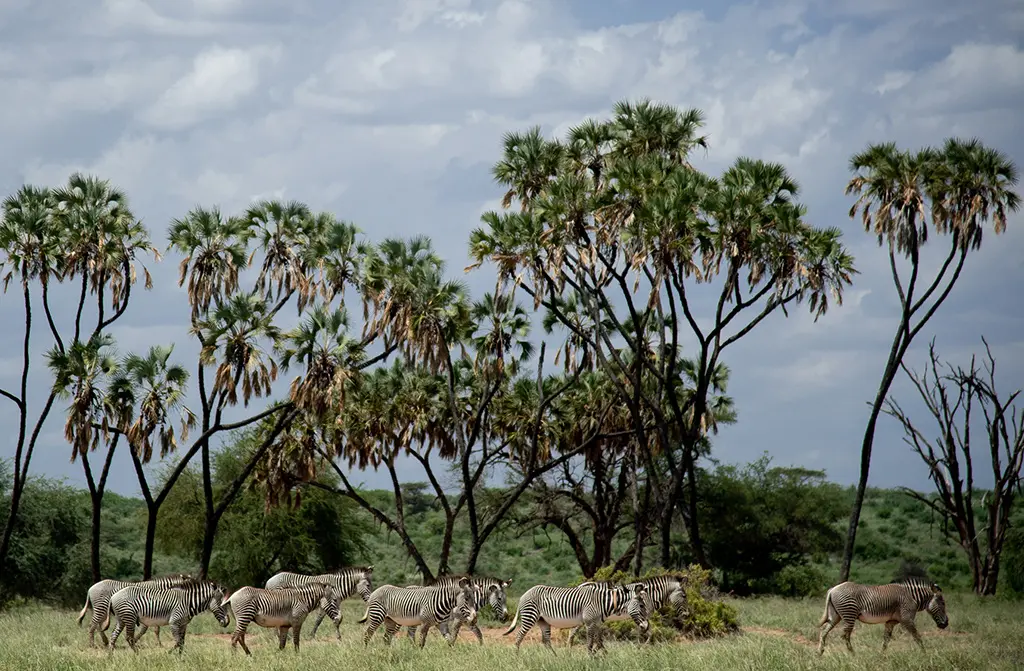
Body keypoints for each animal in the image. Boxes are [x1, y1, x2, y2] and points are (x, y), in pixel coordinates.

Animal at [504, 581, 650, 655]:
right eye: (642, 605)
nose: (647, 626)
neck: (603, 602)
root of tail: (524, 594)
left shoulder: (597, 623)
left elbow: (599, 642)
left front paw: (605, 657)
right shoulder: (590, 623)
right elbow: (590, 643)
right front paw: (592, 659)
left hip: (543, 621)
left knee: (546, 642)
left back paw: (554, 658)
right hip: (530, 617)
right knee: (519, 638)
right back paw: (516, 657)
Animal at [818, 578, 949, 654]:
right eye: (943, 603)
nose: (946, 624)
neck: (912, 597)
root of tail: (833, 589)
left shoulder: (891, 621)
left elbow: (886, 639)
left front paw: (881, 656)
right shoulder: (907, 619)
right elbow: (917, 637)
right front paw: (924, 654)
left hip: (836, 616)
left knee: (824, 632)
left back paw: (820, 653)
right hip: (849, 614)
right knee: (845, 636)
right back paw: (853, 655)